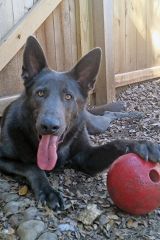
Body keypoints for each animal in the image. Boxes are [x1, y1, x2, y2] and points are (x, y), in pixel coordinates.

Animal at [0, 36, 160, 210]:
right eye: (40, 93)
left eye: (68, 96)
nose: (49, 126)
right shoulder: (3, 160)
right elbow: (32, 167)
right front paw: (48, 192)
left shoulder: (86, 157)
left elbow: (115, 143)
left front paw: (141, 144)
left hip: (95, 125)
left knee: (108, 115)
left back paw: (133, 114)